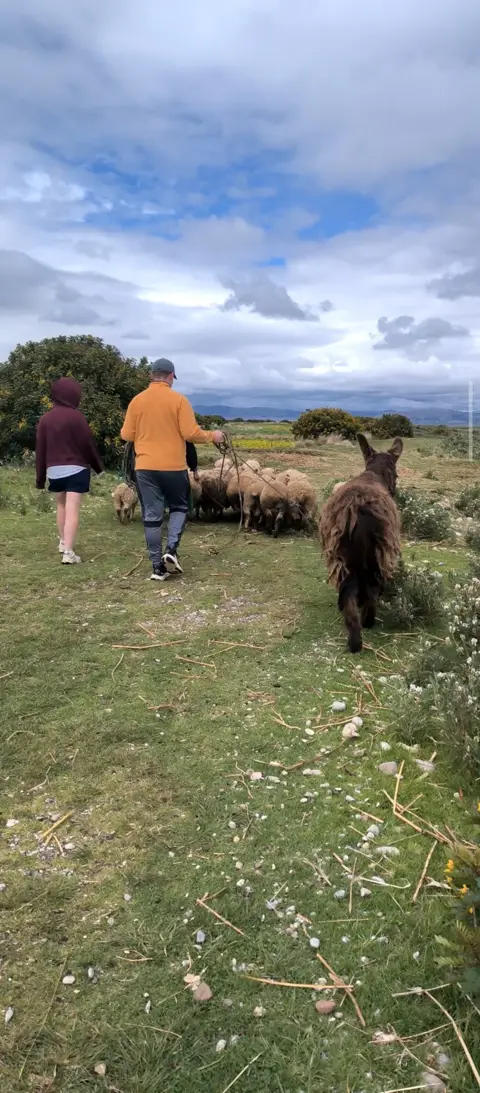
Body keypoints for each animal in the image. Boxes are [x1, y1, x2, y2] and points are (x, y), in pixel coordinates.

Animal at [319, 434, 403, 653]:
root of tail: (357, 509)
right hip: (373, 556)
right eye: (396, 475)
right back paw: (365, 625)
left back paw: (354, 640)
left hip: (346, 559)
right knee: (370, 592)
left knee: (350, 597)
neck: (374, 474)